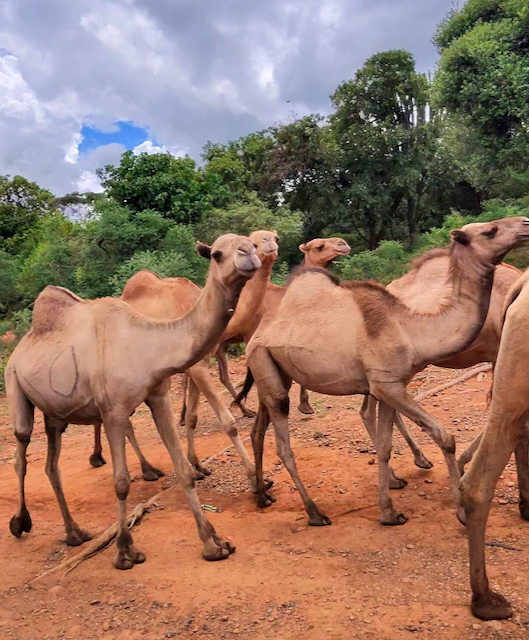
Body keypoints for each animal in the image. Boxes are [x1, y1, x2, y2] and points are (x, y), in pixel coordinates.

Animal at [6, 234, 261, 568]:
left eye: (252, 245)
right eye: (217, 254)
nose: (248, 256)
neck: (146, 344)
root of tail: (21, 347)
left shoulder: (159, 396)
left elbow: (182, 470)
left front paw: (214, 543)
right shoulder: (112, 410)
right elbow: (121, 482)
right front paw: (125, 551)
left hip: (56, 414)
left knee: (51, 465)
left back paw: (74, 533)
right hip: (14, 384)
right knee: (21, 451)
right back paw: (20, 522)